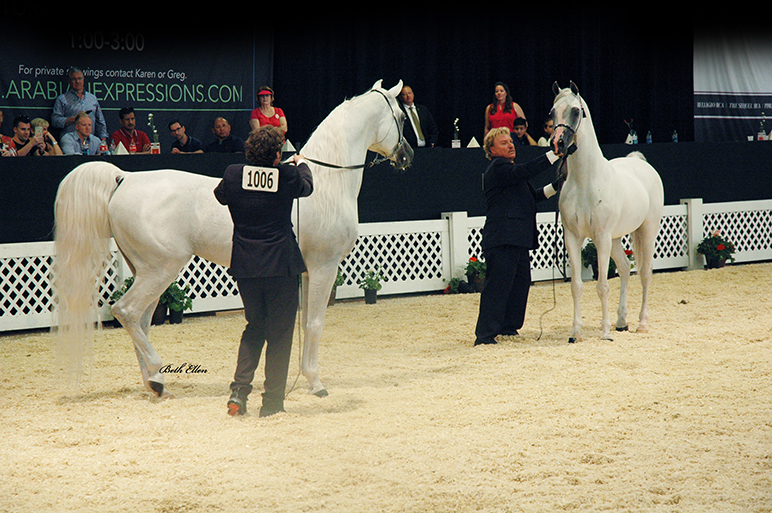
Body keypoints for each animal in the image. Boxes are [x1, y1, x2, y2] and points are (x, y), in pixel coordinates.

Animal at [53, 79, 413, 399]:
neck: (324, 181)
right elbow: (314, 323)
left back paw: (155, 384)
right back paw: (156, 373)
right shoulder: (325, 266)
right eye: (400, 115)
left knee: (141, 320)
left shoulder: (310, 269)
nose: (408, 155)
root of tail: (124, 177)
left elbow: (304, 323)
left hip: (145, 270)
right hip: (161, 268)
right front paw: (316, 384)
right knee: (126, 311)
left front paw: (304, 379)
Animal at [550, 81, 664, 343]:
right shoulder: (573, 237)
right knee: (624, 268)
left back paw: (642, 324)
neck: (585, 181)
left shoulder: (600, 237)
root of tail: (639, 162)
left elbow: (602, 286)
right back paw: (621, 322)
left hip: (646, 231)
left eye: (576, 111)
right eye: (552, 112)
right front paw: (575, 333)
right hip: (614, 238)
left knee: (645, 273)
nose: (558, 144)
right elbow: (576, 286)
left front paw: (604, 333)